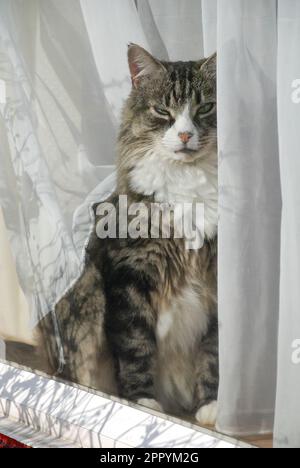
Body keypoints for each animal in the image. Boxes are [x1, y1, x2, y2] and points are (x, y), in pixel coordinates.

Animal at [35, 44, 218, 428]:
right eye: (163, 111)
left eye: (205, 107)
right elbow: (136, 345)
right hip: (87, 292)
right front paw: (142, 403)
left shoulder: (217, 281)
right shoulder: (130, 275)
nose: (185, 135)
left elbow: (213, 354)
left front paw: (210, 406)